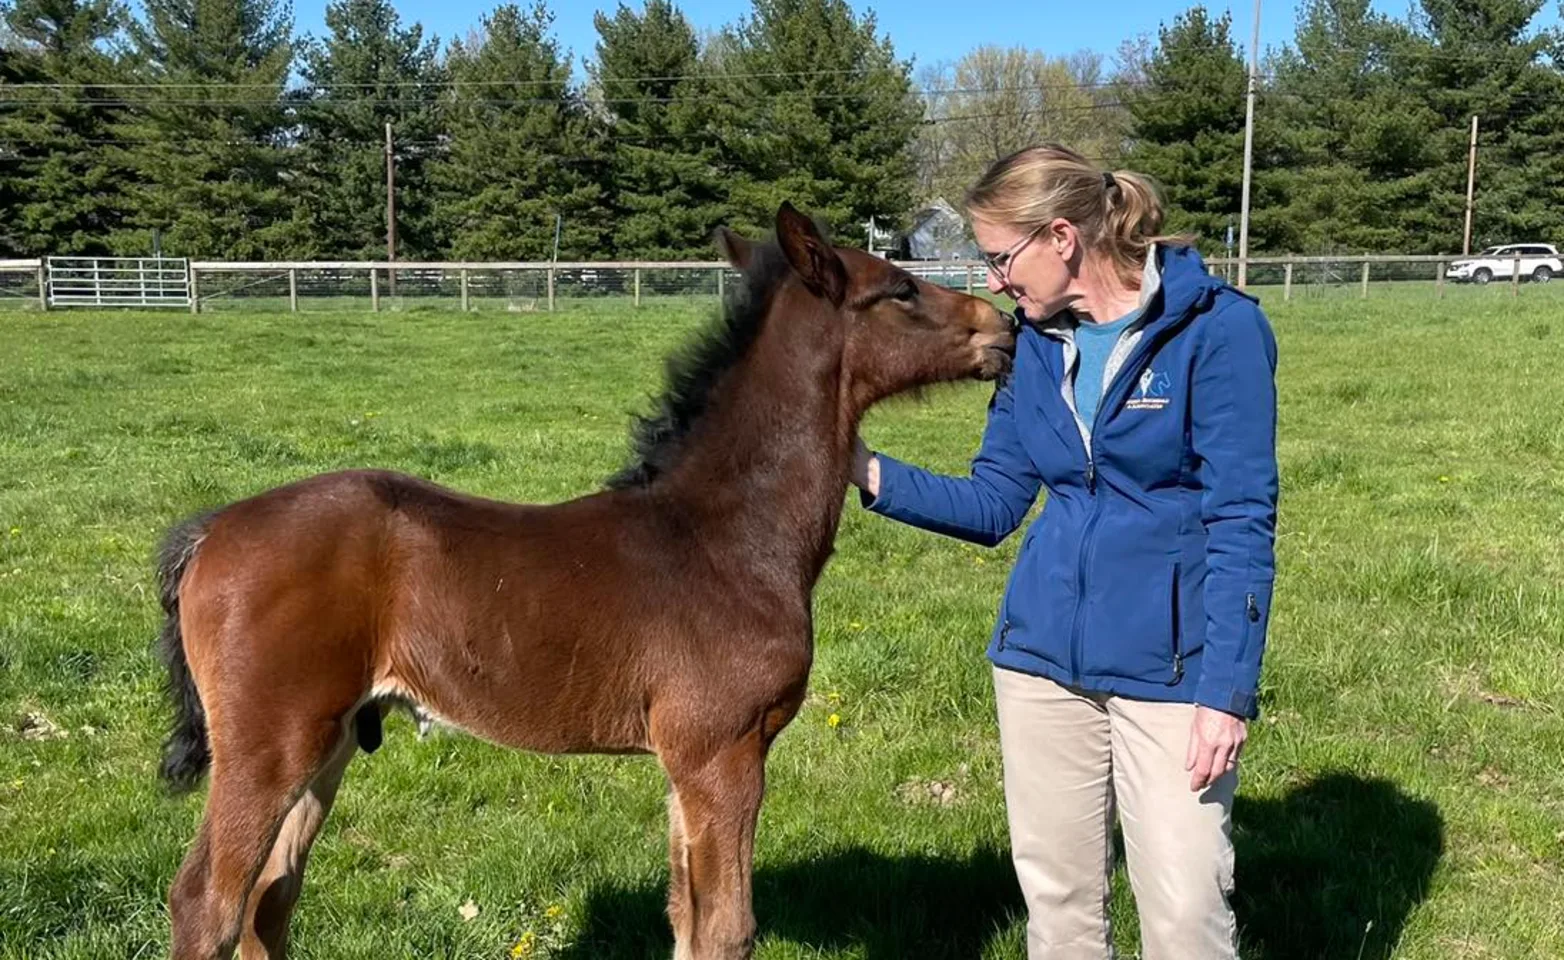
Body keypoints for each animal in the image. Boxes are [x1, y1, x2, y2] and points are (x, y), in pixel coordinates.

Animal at [154, 202, 1015, 960]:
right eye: (898, 289)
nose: (1003, 327)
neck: (727, 537)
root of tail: (209, 531)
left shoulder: (683, 765)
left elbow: (686, 920)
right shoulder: (724, 751)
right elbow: (727, 929)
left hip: (328, 743)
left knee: (269, 900)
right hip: (267, 745)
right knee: (207, 901)